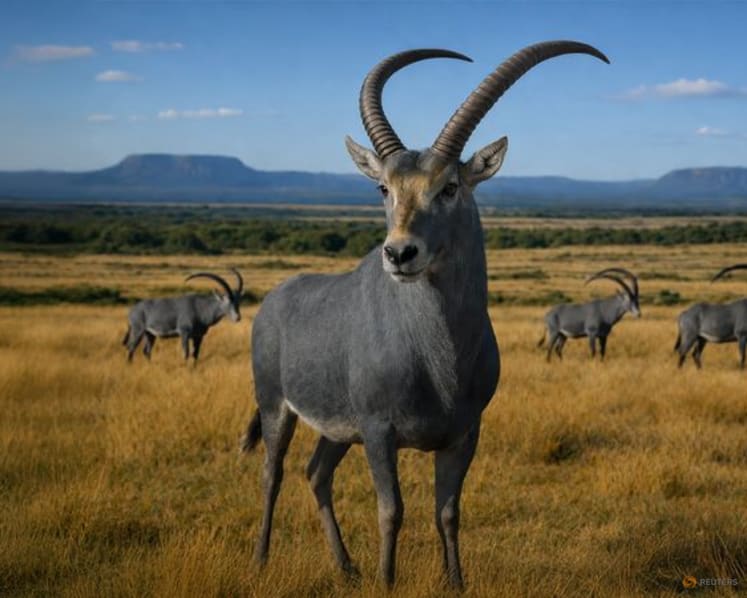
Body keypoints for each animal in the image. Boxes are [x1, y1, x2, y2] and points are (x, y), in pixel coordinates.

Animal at [241, 41, 608, 588]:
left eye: (450, 185)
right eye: (383, 188)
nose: (399, 254)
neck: (439, 357)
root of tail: (275, 300)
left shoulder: (464, 434)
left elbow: (448, 512)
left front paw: (455, 582)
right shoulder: (379, 432)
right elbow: (392, 510)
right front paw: (387, 582)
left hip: (337, 430)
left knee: (317, 473)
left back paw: (346, 567)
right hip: (276, 407)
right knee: (273, 472)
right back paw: (262, 560)